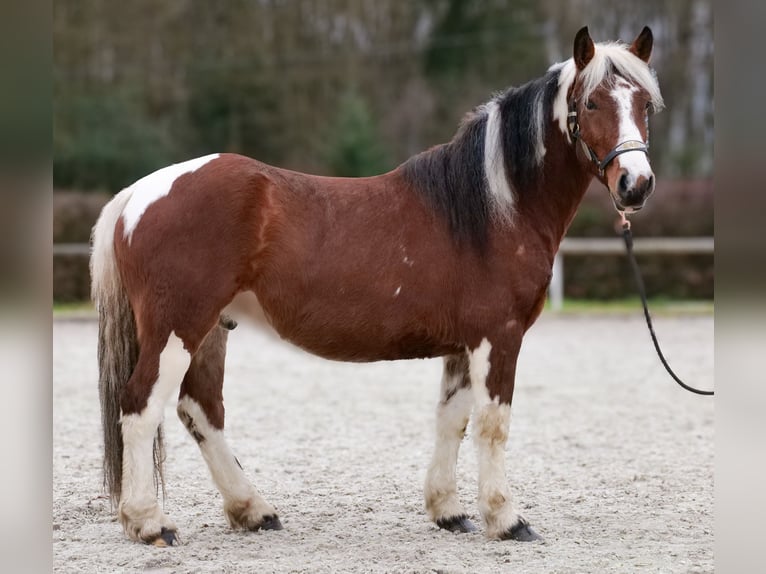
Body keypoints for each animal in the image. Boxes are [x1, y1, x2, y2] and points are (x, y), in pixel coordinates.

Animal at [90, 26, 663, 546]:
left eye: (645, 105)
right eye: (591, 102)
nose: (636, 185)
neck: (494, 206)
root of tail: (140, 193)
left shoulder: (463, 345)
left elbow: (452, 420)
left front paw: (449, 511)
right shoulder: (497, 336)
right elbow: (492, 423)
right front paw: (506, 519)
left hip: (211, 329)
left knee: (200, 410)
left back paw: (253, 511)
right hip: (178, 328)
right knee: (141, 407)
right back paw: (149, 523)